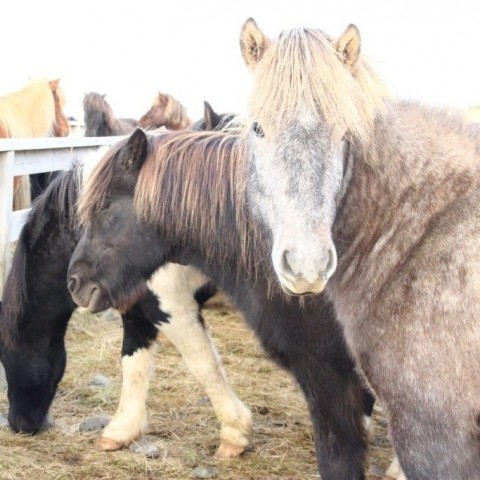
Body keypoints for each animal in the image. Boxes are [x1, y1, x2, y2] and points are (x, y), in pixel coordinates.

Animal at [0, 150, 253, 458]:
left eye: (6, 355)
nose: (19, 423)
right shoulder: (136, 311)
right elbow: (133, 363)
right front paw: (121, 432)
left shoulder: (174, 308)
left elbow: (204, 364)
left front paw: (234, 434)